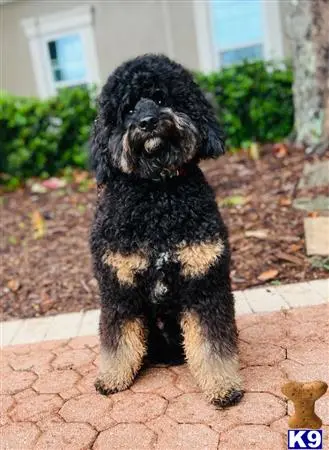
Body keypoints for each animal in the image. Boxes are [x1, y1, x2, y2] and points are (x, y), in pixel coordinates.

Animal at [88, 53, 242, 408]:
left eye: (161, 98)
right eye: (128, 109)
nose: (147, 122)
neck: (158, 192)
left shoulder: (205, 284)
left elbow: (212, 344)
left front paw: (222, 385)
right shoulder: (118, 288)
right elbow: (117, 340)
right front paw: (112, 378)